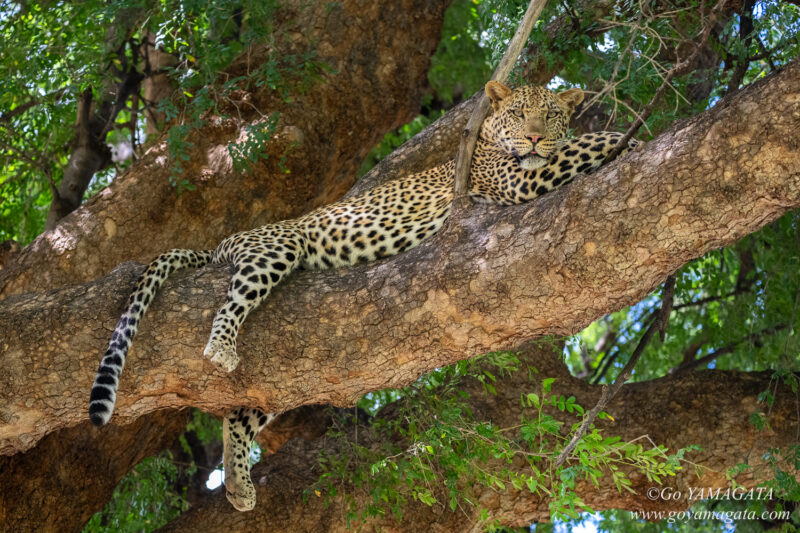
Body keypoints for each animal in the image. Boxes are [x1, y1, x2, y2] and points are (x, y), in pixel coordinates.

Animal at [86, 80, 636, 512]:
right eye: (521, 114)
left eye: (553, 114)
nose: (536, 136)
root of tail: (225, 240)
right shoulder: (518, 177)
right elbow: (589, 143)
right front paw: (629, 140)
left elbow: (579, 144)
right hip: (277, 249)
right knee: (233, 302)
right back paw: (220, 347)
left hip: (294, 377)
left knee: (243, 413)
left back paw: (239, 483)